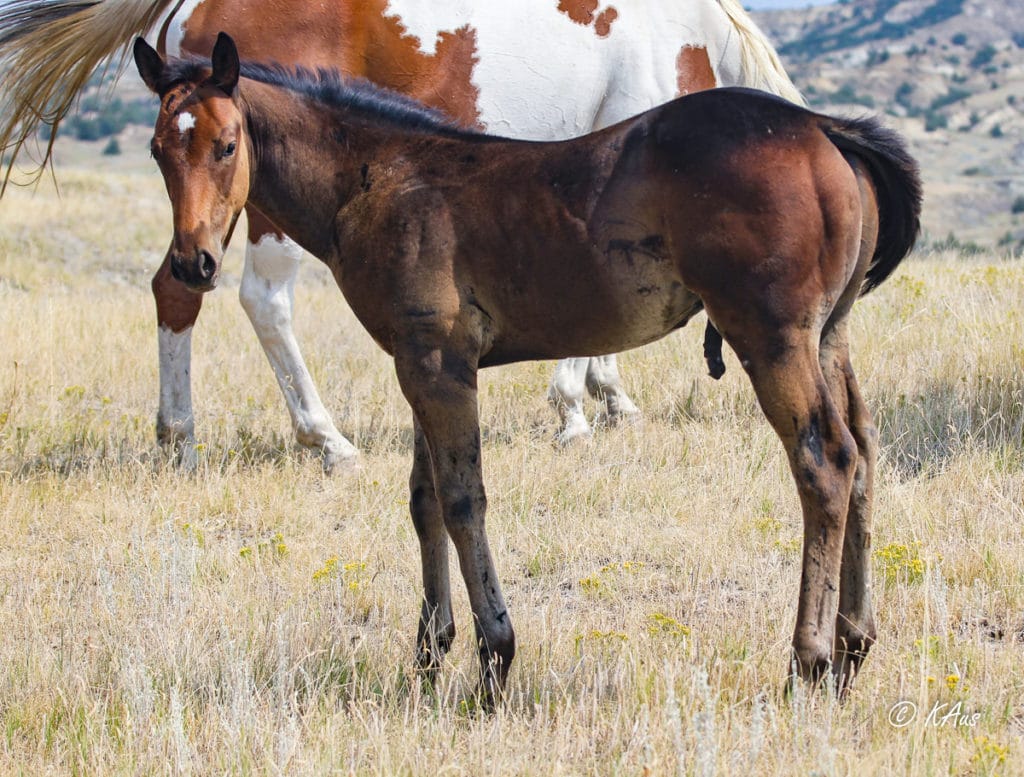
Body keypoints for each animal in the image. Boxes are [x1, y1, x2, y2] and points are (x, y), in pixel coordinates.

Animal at [0, 0, 802, 468]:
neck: (688, 36)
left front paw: (609, 397)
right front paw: (574, 408)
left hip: (205, 218)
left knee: (176, 287)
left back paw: (178, 439)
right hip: (263, 212)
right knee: (264, 302)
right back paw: (326, 440)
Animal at [132, 36, 925, 700]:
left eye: (226, 145)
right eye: (157, 151)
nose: (194, 263)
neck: (377, 177)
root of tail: (824, 129)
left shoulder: (439, 364)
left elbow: (462, 500)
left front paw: (494, 657)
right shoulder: (418, 361)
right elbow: (423, 500)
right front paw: (429, 654)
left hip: (773, 336)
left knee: (824, 461)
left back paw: (809, 662)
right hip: (829, 335)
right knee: (862, 450)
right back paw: (854, 647)